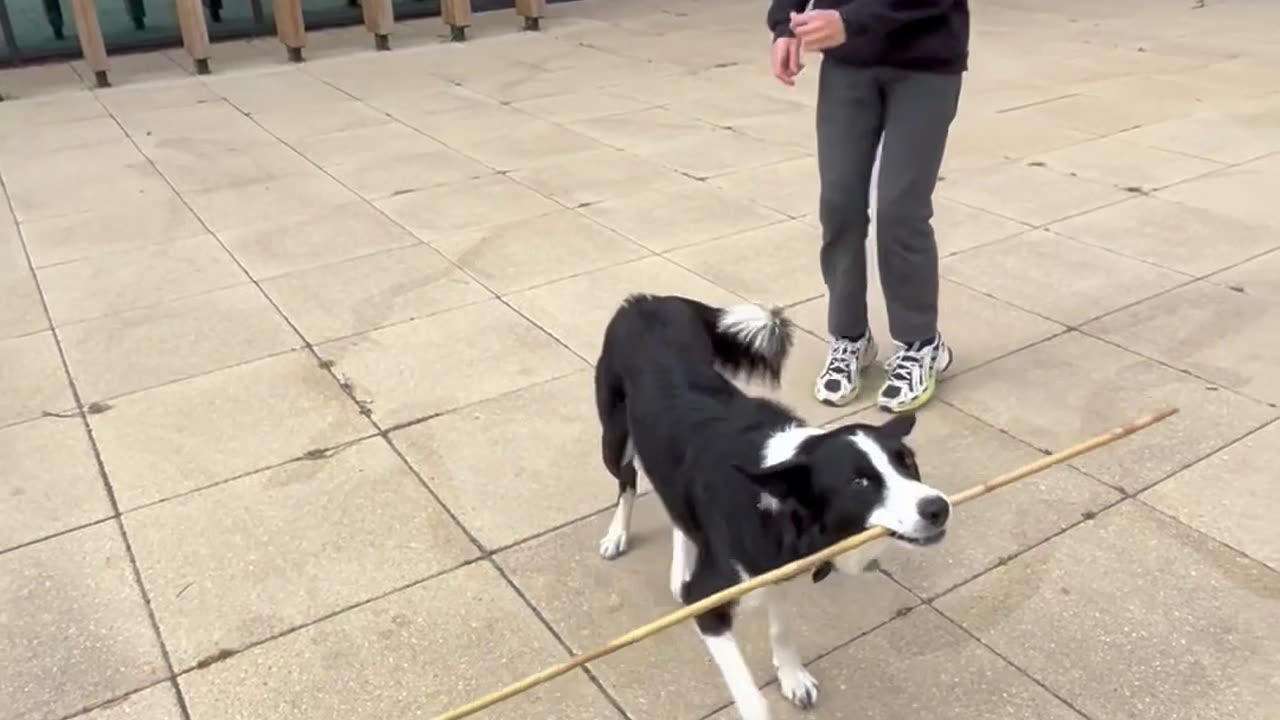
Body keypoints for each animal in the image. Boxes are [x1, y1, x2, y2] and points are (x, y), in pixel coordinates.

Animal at [593, 293, 947, 717]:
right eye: (858, 482)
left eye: (906, 462)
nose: (938, 507)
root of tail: (648, 301)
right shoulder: (709, 604)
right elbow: (751, 696)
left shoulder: (779, 570)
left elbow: (781, 627)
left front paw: (791, 677)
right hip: (614, 438)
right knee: (627, 482)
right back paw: (618, 536)